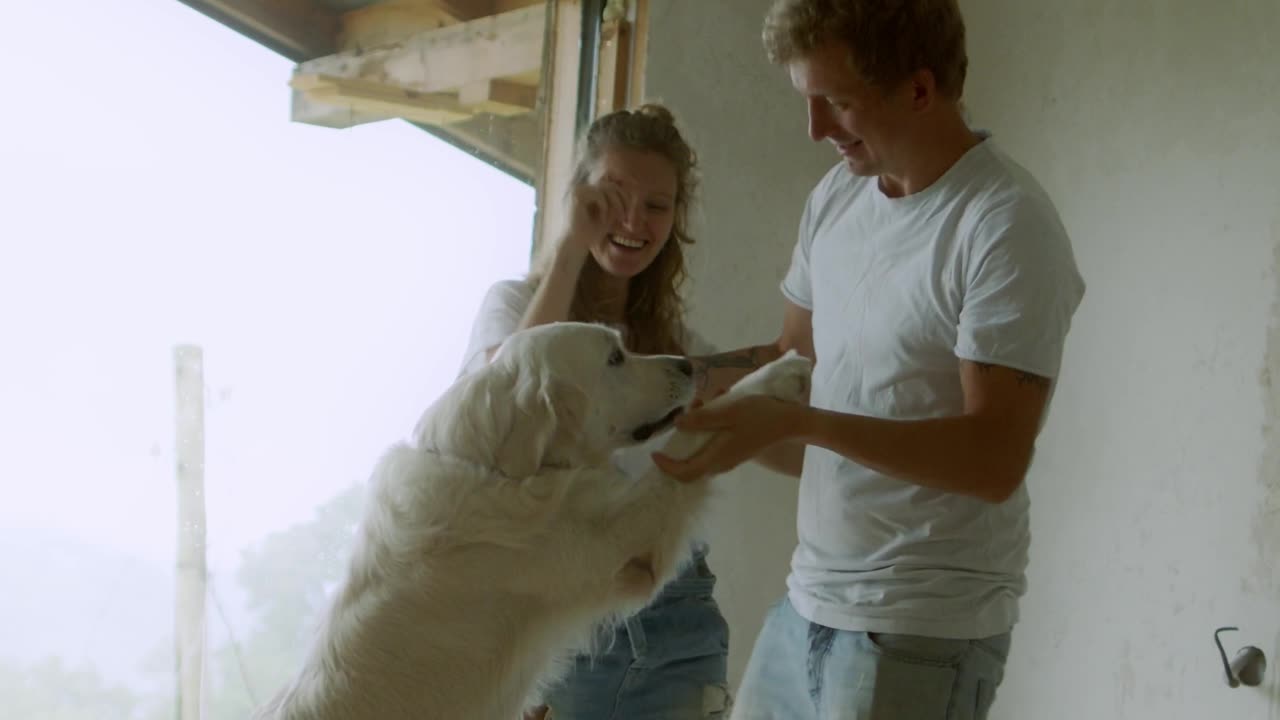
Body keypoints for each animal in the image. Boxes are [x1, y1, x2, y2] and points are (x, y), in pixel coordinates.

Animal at [252, 320, 808, 717]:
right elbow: (683, 446)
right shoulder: (622, 538)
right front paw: (777, 375)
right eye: (614, 357)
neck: (494, 467)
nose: (690, 365)